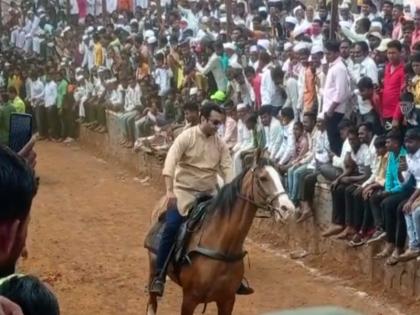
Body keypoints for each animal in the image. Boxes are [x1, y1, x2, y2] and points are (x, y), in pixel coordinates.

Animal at [146, 157, 294, 314]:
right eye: (263, 178)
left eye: (281, 178)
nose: (288, 208)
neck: (221, 247)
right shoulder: (189, 299)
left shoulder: (227, 300)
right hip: (153, 268)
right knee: (152, 303)